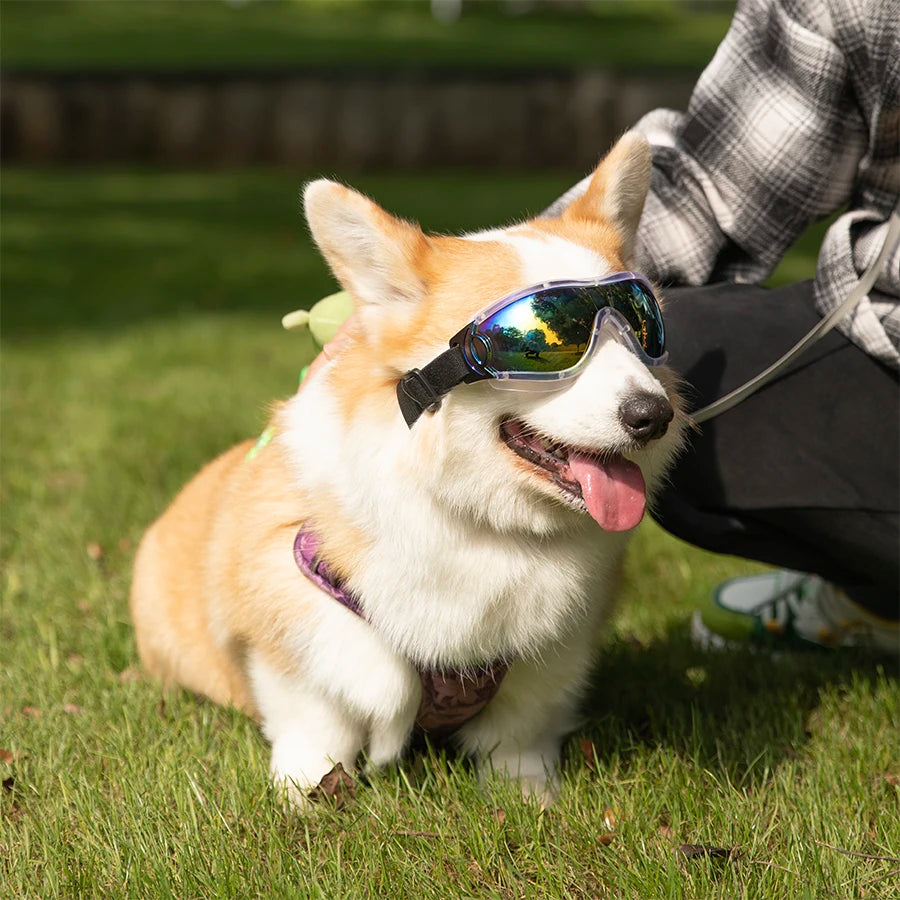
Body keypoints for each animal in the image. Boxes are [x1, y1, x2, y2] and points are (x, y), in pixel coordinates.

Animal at [130, 130, 684, 804]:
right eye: (539, 342)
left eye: (640, 327)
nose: (653, 416)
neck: (482, 524)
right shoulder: (295, 627)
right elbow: (320, 718)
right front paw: (306, 792)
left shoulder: (548, 658)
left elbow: (520, 735)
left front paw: (528, 794)